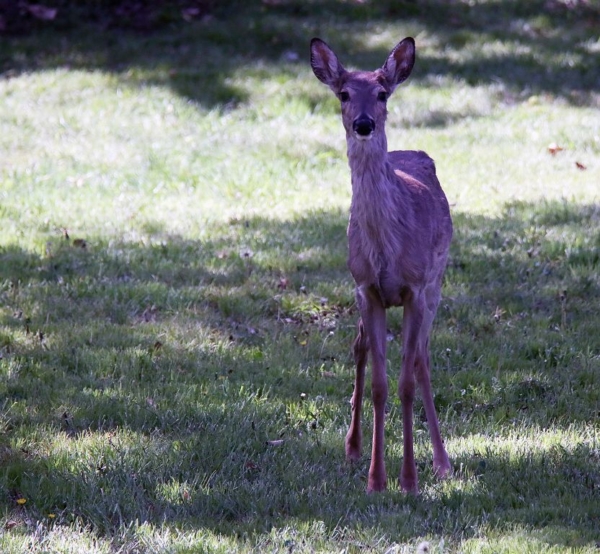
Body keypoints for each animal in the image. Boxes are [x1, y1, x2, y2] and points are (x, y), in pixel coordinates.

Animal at [312, 37, 452, 492]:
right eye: (343, 93)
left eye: (382, 93)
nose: (363, 123)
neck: (388, 247)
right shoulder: (366, 288)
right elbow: (379, 383)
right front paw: (376, 478)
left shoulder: (415, 288)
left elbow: (406, 381)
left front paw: (408, 479)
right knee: (359, 347)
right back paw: (353, 448)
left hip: (437, 285)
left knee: (423, 358)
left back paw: (442, 461)